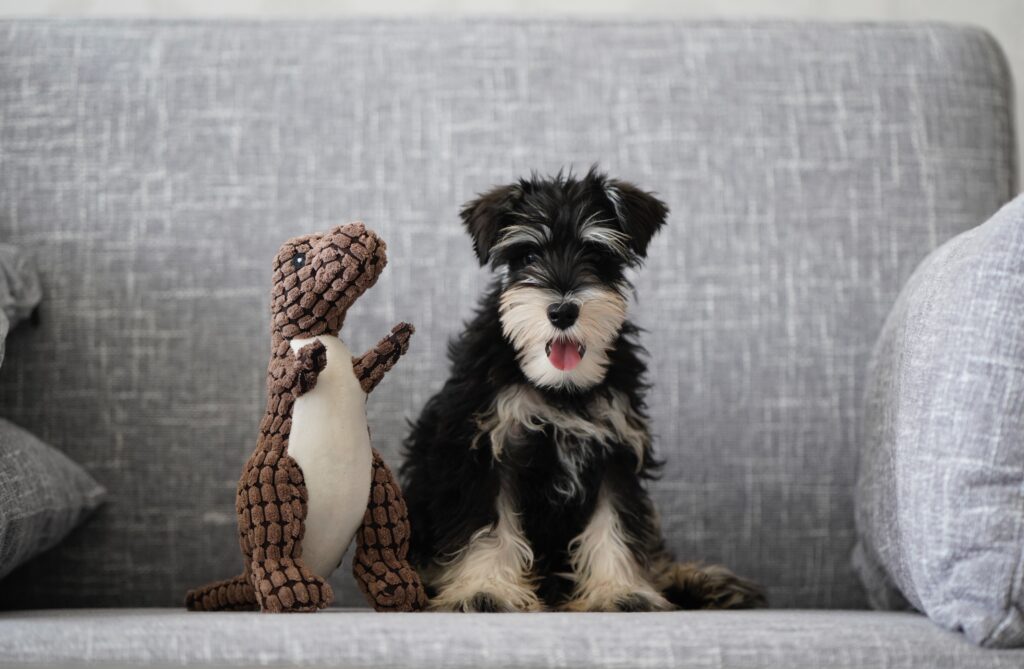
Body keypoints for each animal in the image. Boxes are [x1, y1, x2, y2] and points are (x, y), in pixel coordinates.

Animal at [403, 166, 765, 610]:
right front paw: (485, 590)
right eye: (528, 256)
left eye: (596, 254)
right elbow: (487, 528)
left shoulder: (615, 451)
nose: (562, 311)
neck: (560, 387)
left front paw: (621, 592)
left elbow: (615, 525)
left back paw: (710, 582)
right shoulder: (484, 451)